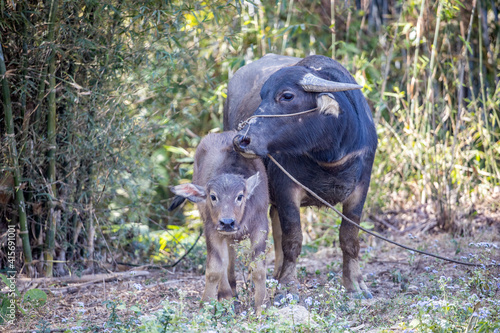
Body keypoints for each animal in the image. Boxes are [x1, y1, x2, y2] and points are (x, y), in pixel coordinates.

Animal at [169, 132, 270, 312]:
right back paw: (226, 294)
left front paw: (261, 306)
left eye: (240, 196)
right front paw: (206, 304)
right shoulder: (212, 229)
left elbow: (258, 268)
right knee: (225, 261)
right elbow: (215, 268)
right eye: (213, 196)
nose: (227, 222)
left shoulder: (260, 225)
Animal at [225, 53, 376, 296]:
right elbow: (293, 238)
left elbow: (349, 237)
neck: (330, 154)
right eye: (262, 96)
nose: (241, 139)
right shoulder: (287, 188)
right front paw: (287, 285)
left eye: (287, 95)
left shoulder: (361, 188)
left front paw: (355, 284)